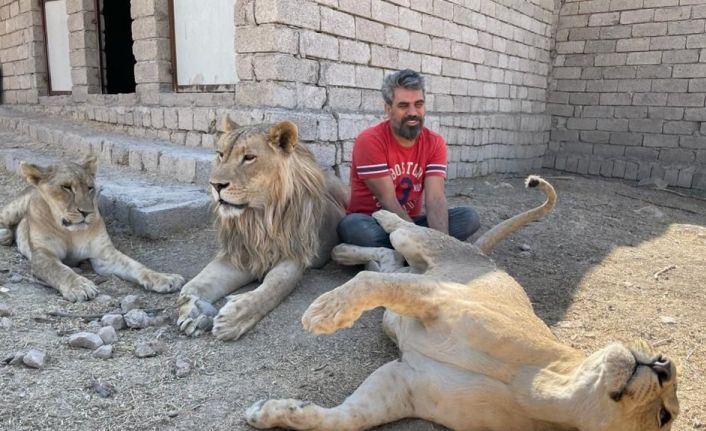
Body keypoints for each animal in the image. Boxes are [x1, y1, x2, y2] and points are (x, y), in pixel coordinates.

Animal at [0, 157, 184, 302]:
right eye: (66, 187)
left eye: (90, 188)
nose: (86, 212)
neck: (70, 232)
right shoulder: (43, 255)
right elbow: (61, 270)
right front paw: (79, 286)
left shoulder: (105, 256)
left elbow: (136, 266)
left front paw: (165, 278)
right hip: (16, 206)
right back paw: (5, 235)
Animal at [173, 116, 344, 342]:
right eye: (221, 154)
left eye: (249, 158)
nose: (215, 185)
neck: (258, 219)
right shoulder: (238, 255)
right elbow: (196, 284)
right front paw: (192, 312)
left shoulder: (293, 255)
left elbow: (274, 287)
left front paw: (234, 319)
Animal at [246, 177, 676, 431]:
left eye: (664, 415)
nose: (663, 363)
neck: (543, 391)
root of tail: (484, 256)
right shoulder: (441, 298)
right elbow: (370, 283)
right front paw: (322, 313)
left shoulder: (401, 386)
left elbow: (339, 420)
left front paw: (270, 412)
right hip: (427, 250)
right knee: (397, 233)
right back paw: (371, 221)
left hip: (414, 275)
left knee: (388, 260)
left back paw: (343, 251)